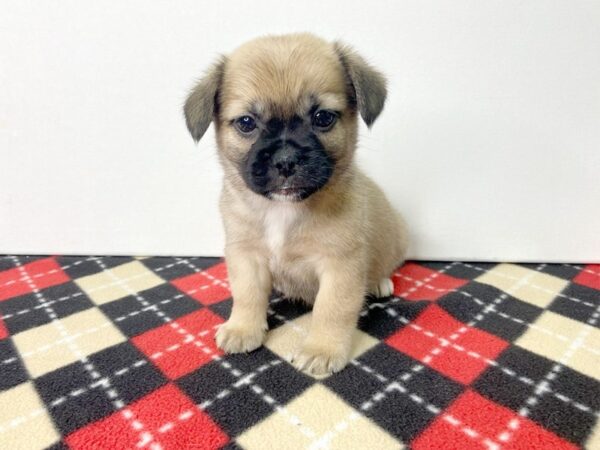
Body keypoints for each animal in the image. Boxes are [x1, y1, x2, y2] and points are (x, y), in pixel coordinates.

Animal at [183, 32, 408, 376]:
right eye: (246, 122)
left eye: (323, 118)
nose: (286, 159)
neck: (283, 211)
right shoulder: (246, 256)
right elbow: (246, 296)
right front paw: (242, 328)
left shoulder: (340, 265)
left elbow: (332, 310)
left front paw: (322, 350)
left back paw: (380, 282)